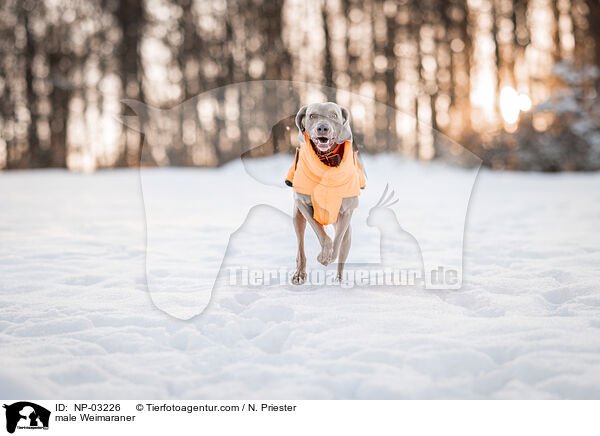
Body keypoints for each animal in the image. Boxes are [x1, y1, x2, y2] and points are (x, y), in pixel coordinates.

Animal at [292, 103, 358, 286]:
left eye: (334, 115)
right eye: (312, 115)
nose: (323, 127)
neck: (326, 162)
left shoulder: (347, 211)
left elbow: (336, 241)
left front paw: (327, 257)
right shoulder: (303, 204)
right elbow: (322, 234)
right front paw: (323, 256)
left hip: (348, 234)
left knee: (342, 251)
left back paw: (339, 281)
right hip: (296, 218)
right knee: (300, 248)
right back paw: (299, 274)